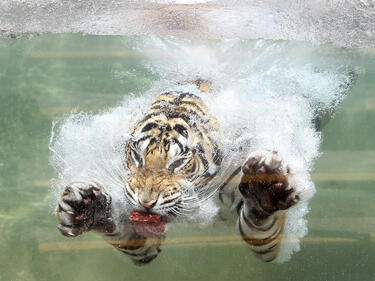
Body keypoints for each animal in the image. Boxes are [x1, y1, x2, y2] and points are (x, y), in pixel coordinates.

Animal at [55, 79, 302, 264]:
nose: (145, 203)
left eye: (180, 161)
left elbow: (259, 229)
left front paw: (263, 190)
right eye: (137, 156)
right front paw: (87, 206)